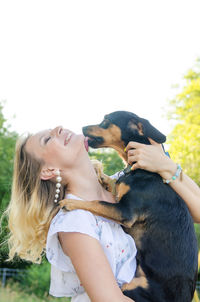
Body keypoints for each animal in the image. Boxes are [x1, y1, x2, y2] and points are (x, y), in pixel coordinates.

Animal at [59, 111, 198, 302]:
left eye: (106, 121)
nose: (82, 127)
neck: (141, 169)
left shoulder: (124, 211)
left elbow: (96, 202)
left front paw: (70, 202)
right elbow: (114, 183)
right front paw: (101, 175)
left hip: (131, 289)